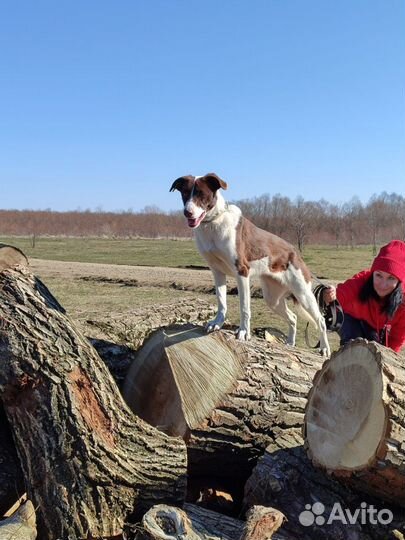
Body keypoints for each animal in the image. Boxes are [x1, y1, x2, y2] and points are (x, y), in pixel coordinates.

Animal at [169, 173, 330, 356]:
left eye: (201, 194)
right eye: (185, 193)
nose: (187, 212)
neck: (214, 222)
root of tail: (295, 252)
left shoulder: (242, 272)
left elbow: (244, 307)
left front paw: (244, 332)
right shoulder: (217, 271)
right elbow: (221, 302)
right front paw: (217, 323)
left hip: (303, 293)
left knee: (321, 320)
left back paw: (325, 348)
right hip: (272, 299)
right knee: (293, 318)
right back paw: (290, 343)